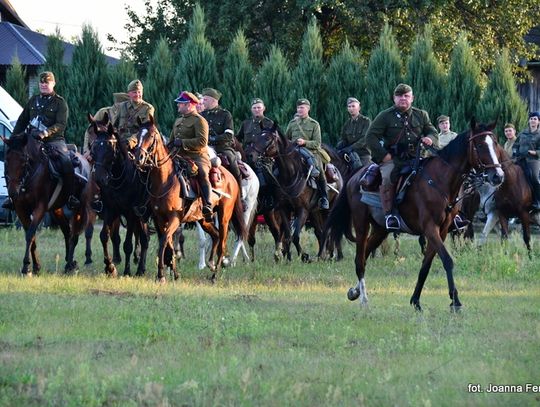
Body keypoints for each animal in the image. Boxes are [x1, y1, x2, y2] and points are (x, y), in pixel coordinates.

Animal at [2, 132, 93, 276]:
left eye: (23, 160)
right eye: (7, 160)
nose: (13, 192)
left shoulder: (40, 208)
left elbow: (30, 234)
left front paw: (26, 266)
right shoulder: (21, 209)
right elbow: (31, 235)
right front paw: (36, 266)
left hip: (79, 209)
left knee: (74, 235)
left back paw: (70, 265)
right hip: (57, 210)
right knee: (67, 232)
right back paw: (69, 263)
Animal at [88, 115, 151, 278]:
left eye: (110, 148)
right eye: (94, 147)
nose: (98, 177)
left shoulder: (130, 213)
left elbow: (127, 244)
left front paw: (127, 271)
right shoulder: (110, 210)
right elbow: (104, 236)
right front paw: (110, 267)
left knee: (145, 238)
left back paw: (141, 267)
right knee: (143, 236)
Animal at [133, 116, 247, 282]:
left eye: (151, 136)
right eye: (138, 135)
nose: (139, 158)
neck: (165, 180)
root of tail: (231, 177)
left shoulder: (175, 218)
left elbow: (164, 241)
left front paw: (161, 274)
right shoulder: (159, 219)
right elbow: (169, 245)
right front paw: (174, 273)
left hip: (224, 216)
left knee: (222, 242)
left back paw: (215, 274)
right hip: (203, 218)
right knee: (215, 235)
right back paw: (210, 263)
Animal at [248, 124, 344, 262]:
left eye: (267, 138)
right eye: (256, 137)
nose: (250, 155)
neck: (290, 175)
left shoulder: (302, 210)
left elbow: (295, 236)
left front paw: (304, 256)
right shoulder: (284, 209)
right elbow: (288, 235)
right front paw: (289, 258)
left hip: (328, 209)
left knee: (328, 231)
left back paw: (332, 255)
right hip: (315, 212)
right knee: (320, 232)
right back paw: (321, 256)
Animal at [324, 119, 506, 310]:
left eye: (495, 144)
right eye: (480, 145)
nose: (498, 176)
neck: (440, 180)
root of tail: (355, 176)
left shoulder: (441, 231)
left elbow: (426, 265)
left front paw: (416, 300)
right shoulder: (430, 228)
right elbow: (447, 260)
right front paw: (455, 301)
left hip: (380, 230)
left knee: (365, 254)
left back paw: (354, 291)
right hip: (361, 224)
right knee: (359, 260)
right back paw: (364, 300)